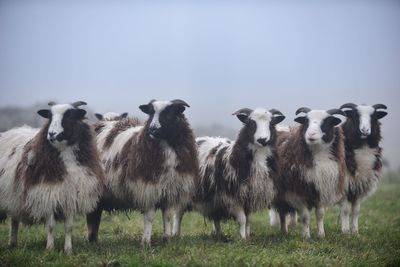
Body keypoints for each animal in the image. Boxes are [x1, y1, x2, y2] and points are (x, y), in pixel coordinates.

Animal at [0, 101, 104, 254]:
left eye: (70, 116)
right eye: (49, 116)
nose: (51, 134)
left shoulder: (70, 196)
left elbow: (69, 227)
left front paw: (68, 250)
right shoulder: (48, 194)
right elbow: (50, 226)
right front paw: (49, 249)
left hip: (14, 197)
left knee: (14, 219)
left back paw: (13, 243)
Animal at [86, 99, 198, 246]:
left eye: (169, 113)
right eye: (151, 113)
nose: (152, 128)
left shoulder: (169, 190)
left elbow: (167, 216)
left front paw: (167, 239)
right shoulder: (148, 189)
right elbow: (149, 218)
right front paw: (146, 242)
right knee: (92, 216)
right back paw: (92, 240)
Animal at [177, 108, 286, 240]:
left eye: (271, 123)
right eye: (251, 123)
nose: (262, 139)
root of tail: (198, 140)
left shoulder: (249, 196)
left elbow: (248, 220)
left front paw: (247, 236)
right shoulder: (232, 197)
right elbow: (243, 220)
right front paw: (243, 239)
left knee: (215, 216)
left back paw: (218, 235)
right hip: (183, 191)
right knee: (178, 215)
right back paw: (175, 234)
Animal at [274, 108, 348, 240]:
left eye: (327, 121)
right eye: (306, 121)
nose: (311, 134)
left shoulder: (321, 189)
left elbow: (320, 214)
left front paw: (321, 235)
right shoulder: (300, 192)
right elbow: (305, 217)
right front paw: (306, 236)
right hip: (281, 194)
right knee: (282, 213)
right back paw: (283, 231)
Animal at [338, 102, 388, 234]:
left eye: (374, 116)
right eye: (355, 115)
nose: (365, 130)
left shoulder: (358, 186)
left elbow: (356, 211)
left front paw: (355, 232)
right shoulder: (345, 186)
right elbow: (345, 210)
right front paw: (345, 231)